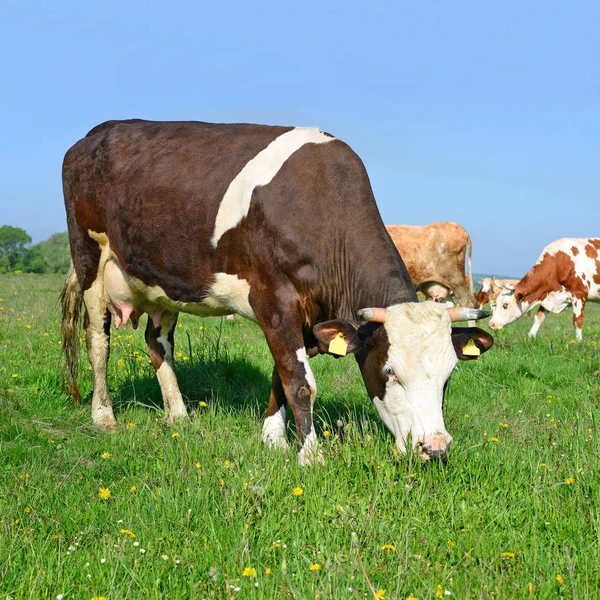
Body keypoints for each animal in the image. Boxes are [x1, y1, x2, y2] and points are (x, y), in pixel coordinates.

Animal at [59, 118, 492, 464]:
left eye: (449, 375)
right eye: (390, 371)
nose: (435, 448)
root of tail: (95, 133)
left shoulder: (302, 316)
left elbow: (281, 375)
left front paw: (274, 439)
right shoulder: (275, 300)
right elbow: (300, 383)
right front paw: (310, 456)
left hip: (163, 281)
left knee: (157, 342)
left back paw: (178, 415)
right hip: (89, 257)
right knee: (98, 340)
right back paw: (104, 417)